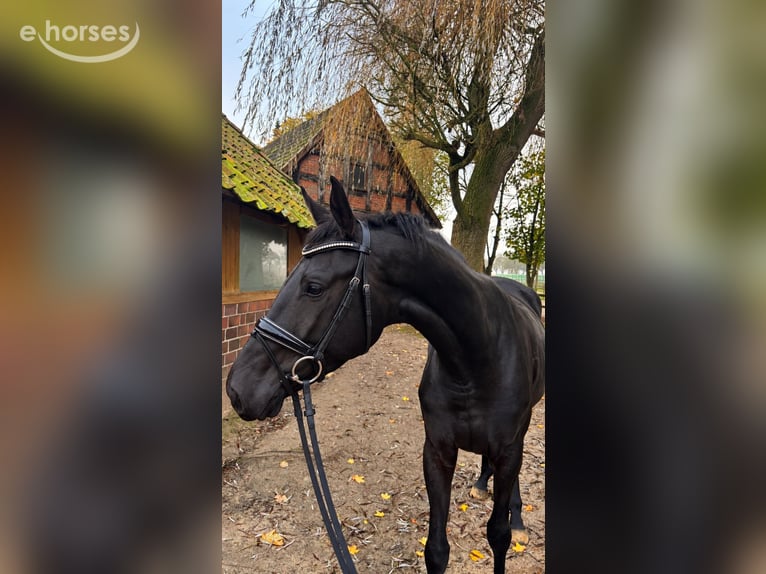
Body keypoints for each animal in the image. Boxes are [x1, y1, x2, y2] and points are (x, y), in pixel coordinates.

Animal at [226, 176, 545, 573]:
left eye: (313, 287)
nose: (237, 389)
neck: (474, 363)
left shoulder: (508, 448)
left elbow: (498, 536)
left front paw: (511, 524)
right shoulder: (437, 451)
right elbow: (436, 549)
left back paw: (518, 519)